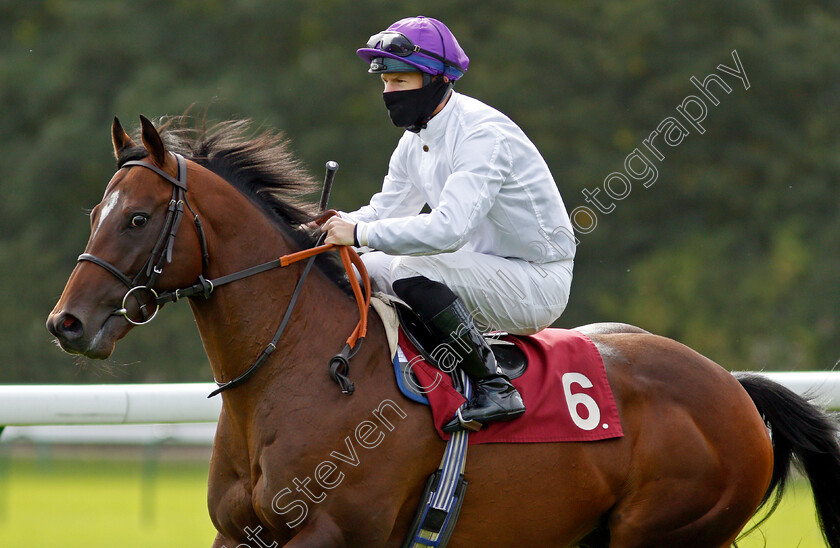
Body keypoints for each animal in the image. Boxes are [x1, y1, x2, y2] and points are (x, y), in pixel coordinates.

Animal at [46, 116, 840, 548]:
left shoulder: (336, 534)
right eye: (94, 212)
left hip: (664, 532)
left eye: (138, 218)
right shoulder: (238, 532)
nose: (67, 323)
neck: (300, 368)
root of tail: (731, 385)